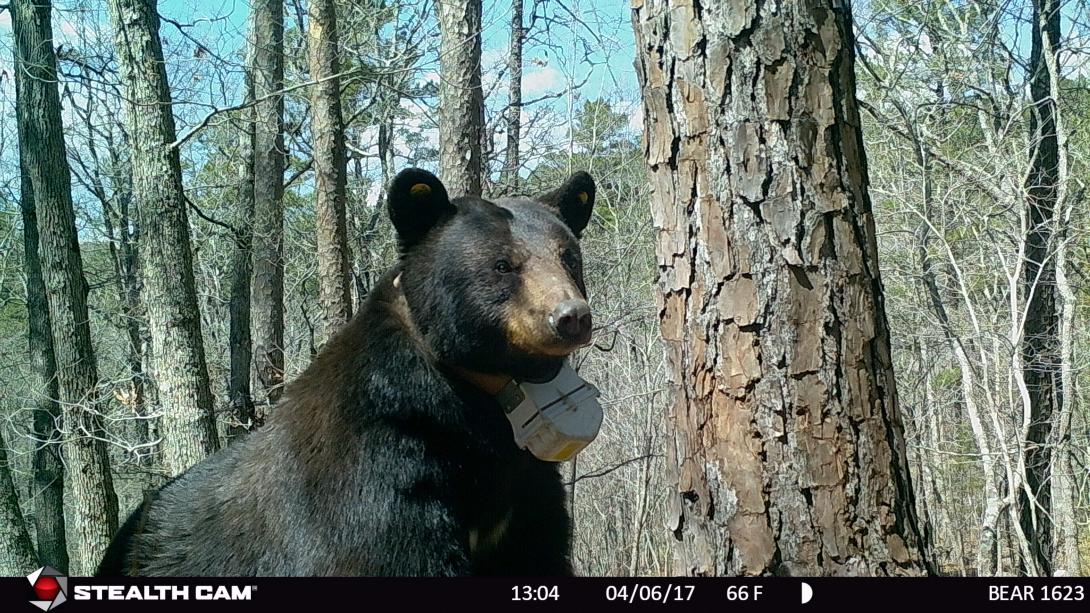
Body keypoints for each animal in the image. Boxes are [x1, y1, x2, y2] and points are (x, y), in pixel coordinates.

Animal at [94, 165, 601, 571]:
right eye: (503, 265)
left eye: (569, 257)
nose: (571, 316)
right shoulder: (380, 476)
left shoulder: (524, 491)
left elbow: (539, 550)